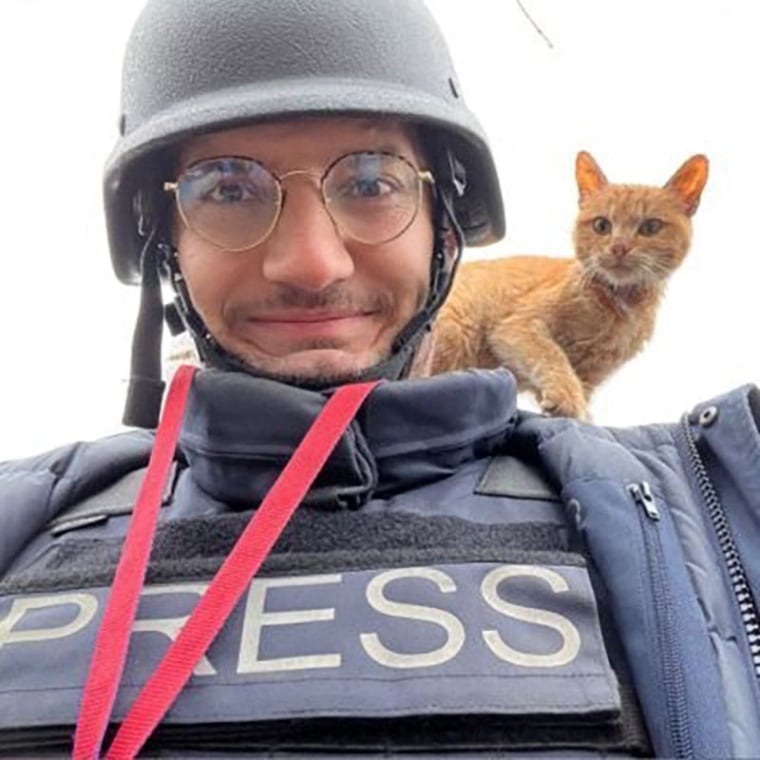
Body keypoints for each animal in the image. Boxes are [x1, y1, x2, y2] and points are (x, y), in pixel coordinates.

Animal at [430, 151, 708, 418]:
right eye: (601, 225)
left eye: (651, 227)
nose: (619, 247)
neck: (620, 306)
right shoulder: (517, 326)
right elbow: (552, 356)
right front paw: (567, 399)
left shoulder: (590, 376)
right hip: (456, 332)